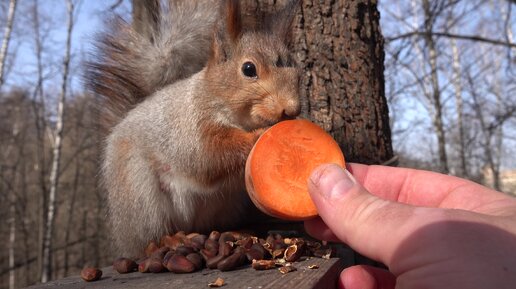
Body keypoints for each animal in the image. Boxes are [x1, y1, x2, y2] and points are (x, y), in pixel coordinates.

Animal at [86, 0, 300, 256]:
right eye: (249, 69)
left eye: (296, 69)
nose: (292, 108)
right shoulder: (192, 128)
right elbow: (208, 155)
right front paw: (256, 137)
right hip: (140, 195)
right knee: (149, 240)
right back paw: (170, 241)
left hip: (228, 203)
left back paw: (236, 232)